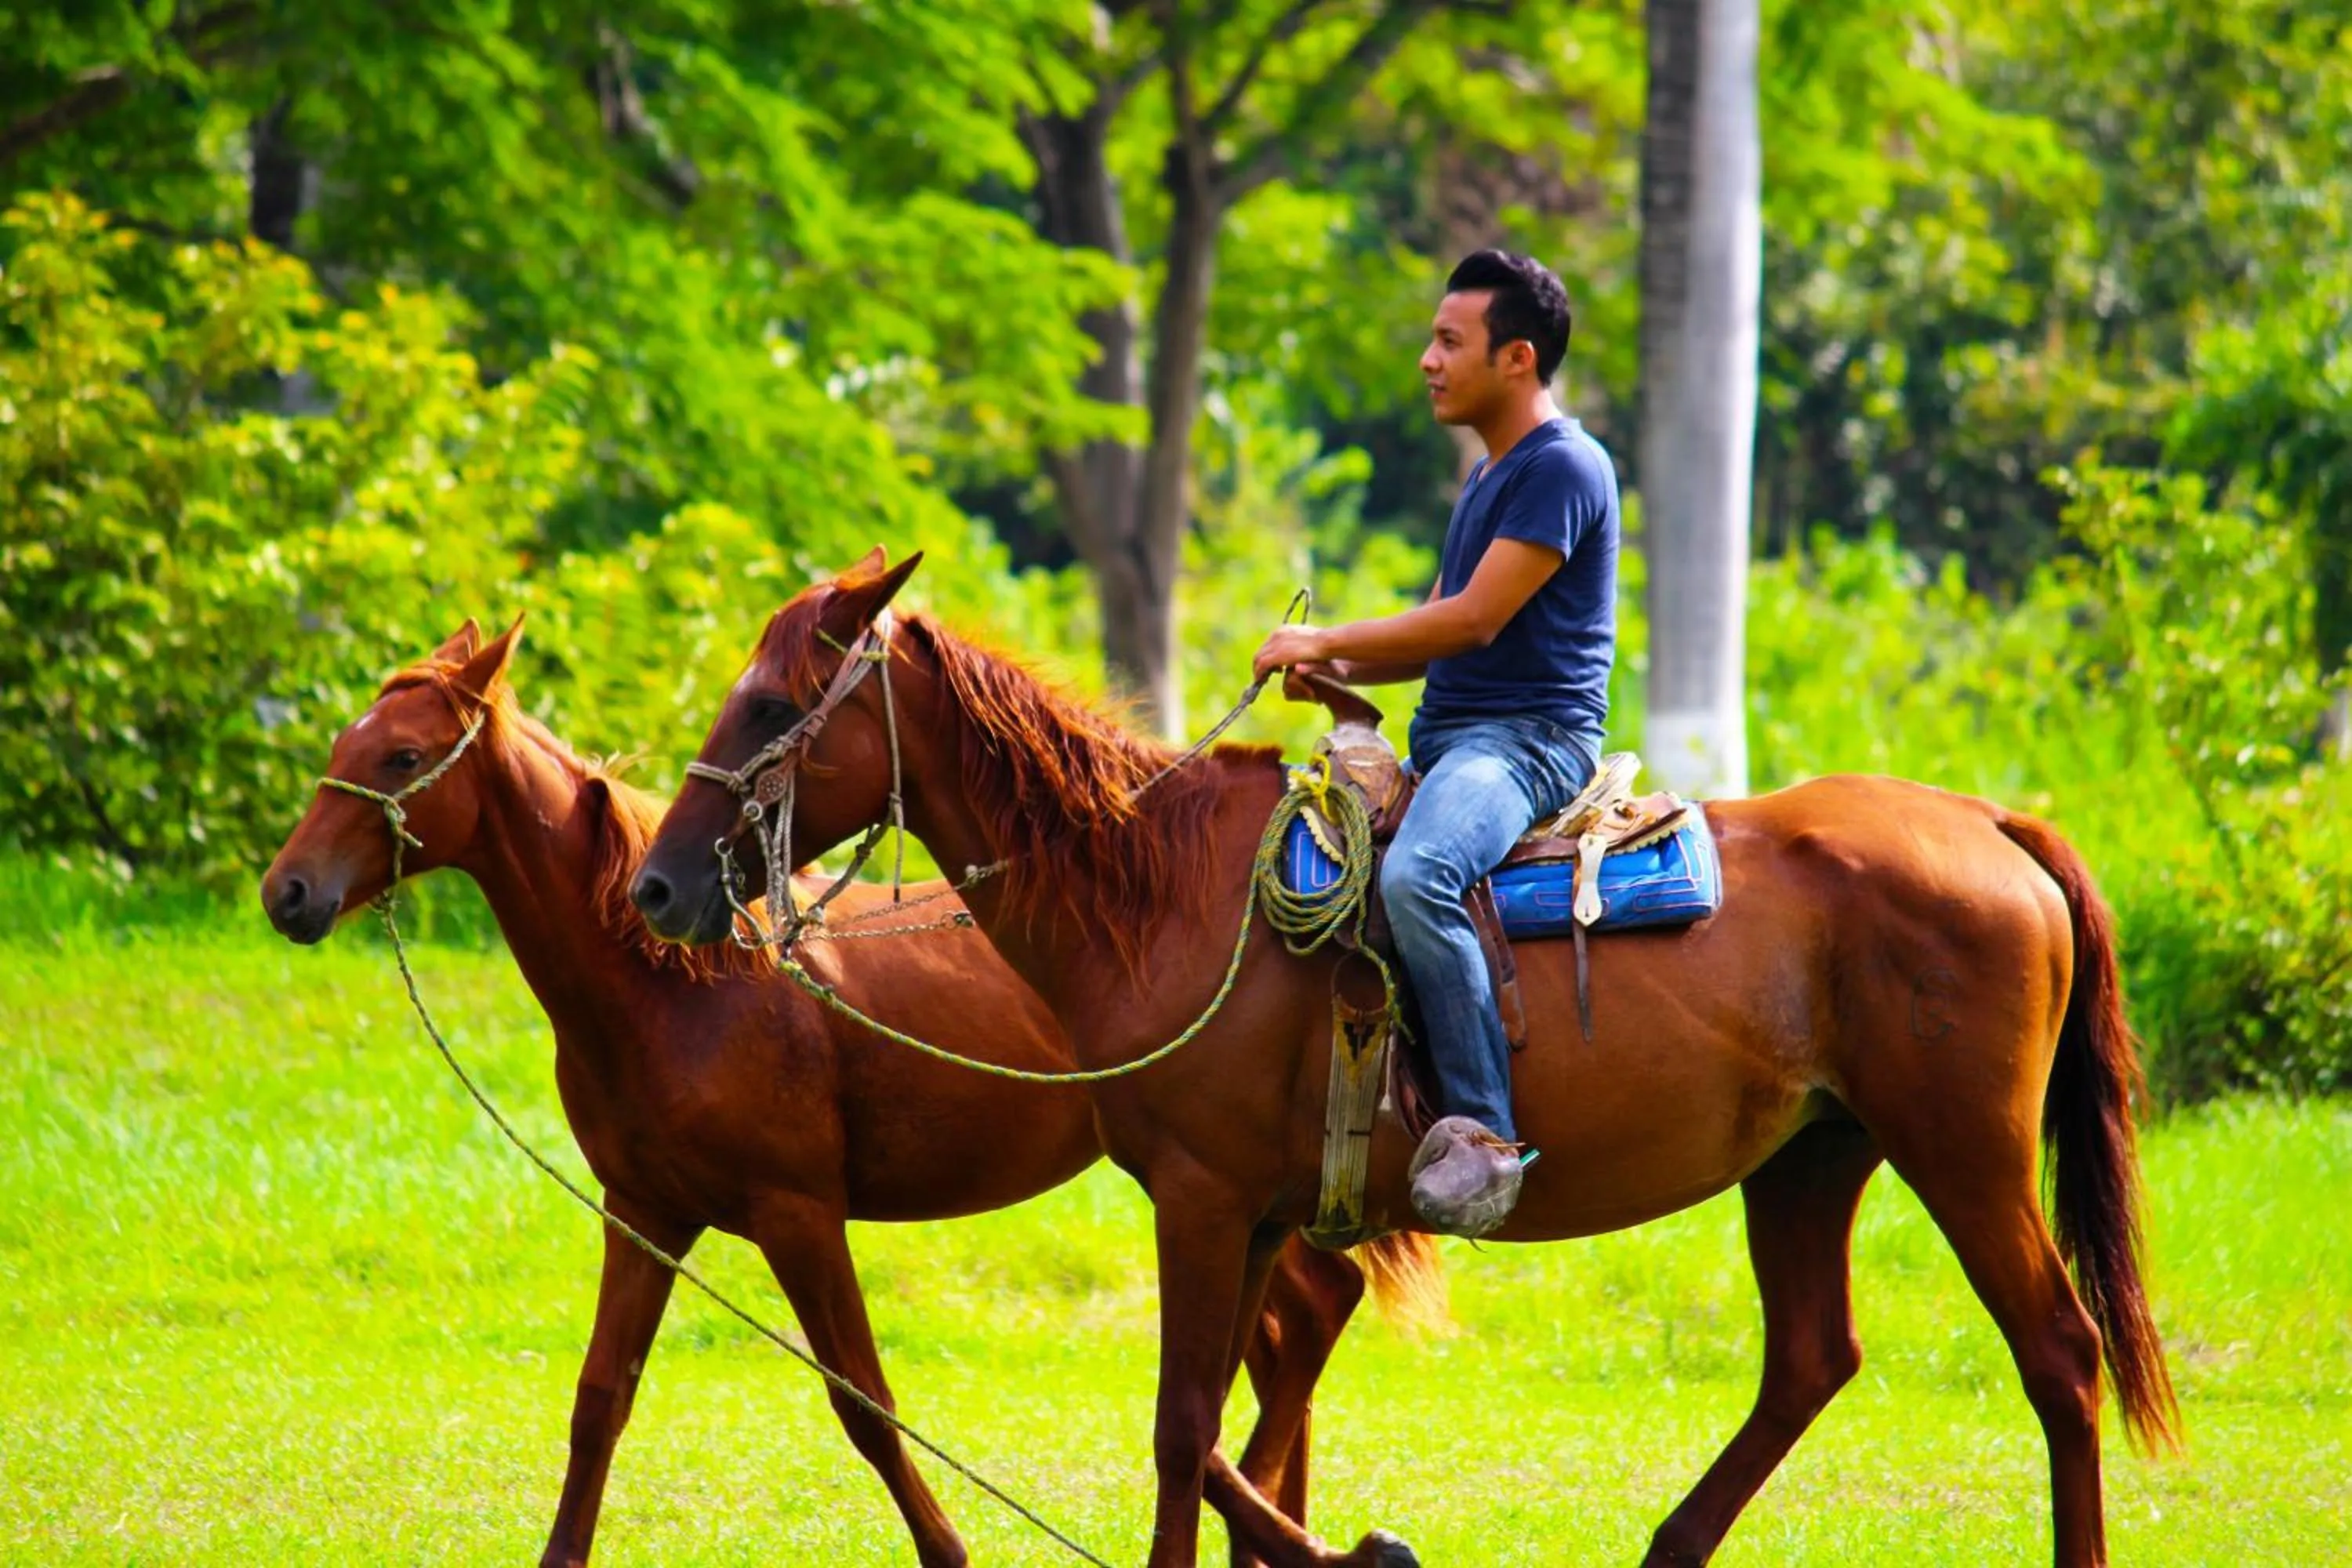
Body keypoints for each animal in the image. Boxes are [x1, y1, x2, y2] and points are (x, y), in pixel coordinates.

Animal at [259, 617, 1446, 1568]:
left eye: (402, 754)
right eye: (343, 748)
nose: (288, 892)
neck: (675, 979)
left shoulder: (797, 1214)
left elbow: (865, 1402)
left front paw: (951, 1548)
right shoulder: (643, 1215)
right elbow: (600, 1400)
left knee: (1299, 1328)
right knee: (1304, 1322)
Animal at [629, 550, 2181, 1568]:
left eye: (768, 707)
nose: (654, 887)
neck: (1162, 890)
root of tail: (1989, 823)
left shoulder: (1201, 1203)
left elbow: (1182, 1431)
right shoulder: (1255, 1214)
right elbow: (1209, 1436)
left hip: (1963, 1150)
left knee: (2059, 1356)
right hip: (1811, 1156)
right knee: (1811, 1360)